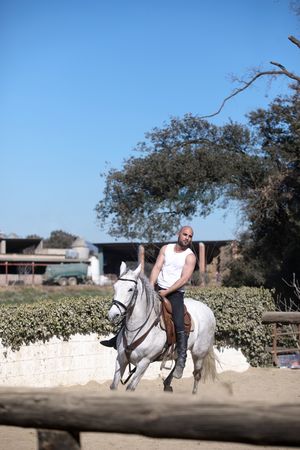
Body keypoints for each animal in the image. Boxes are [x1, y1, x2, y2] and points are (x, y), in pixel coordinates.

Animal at [106, 262, 217, 392]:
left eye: (130, 289)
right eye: (115, 287)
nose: (113, 314)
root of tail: (207, 309)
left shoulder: (145, 362)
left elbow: (130, 387)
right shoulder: (121, 359)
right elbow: (113, 386)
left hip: (199, 353)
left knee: (197, 374)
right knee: (178, 362)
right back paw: (168, 383)